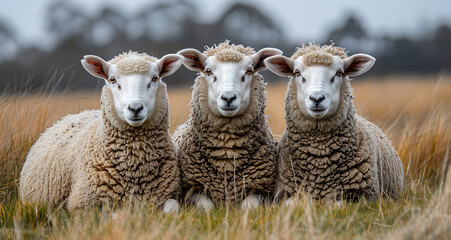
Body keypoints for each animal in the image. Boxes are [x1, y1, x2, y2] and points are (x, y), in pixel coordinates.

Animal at [19, 50, 185, 212]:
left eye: (155, 78)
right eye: (112, 80)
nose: (135, 108)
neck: (135, 166)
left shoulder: (168, 195)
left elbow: (172, 208)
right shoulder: (84, 205)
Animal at [176, 40, 282, 211]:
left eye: (249, 70)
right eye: (208, 71)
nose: (228, 98)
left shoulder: (261, 190)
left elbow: (248, 207)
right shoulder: (192, 190)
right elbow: (207, 207)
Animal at [264, 42, 404, 202]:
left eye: (339, 73)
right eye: (297, 73)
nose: (317, 98)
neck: (319, 153)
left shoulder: (363, 196)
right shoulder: (285, 193)